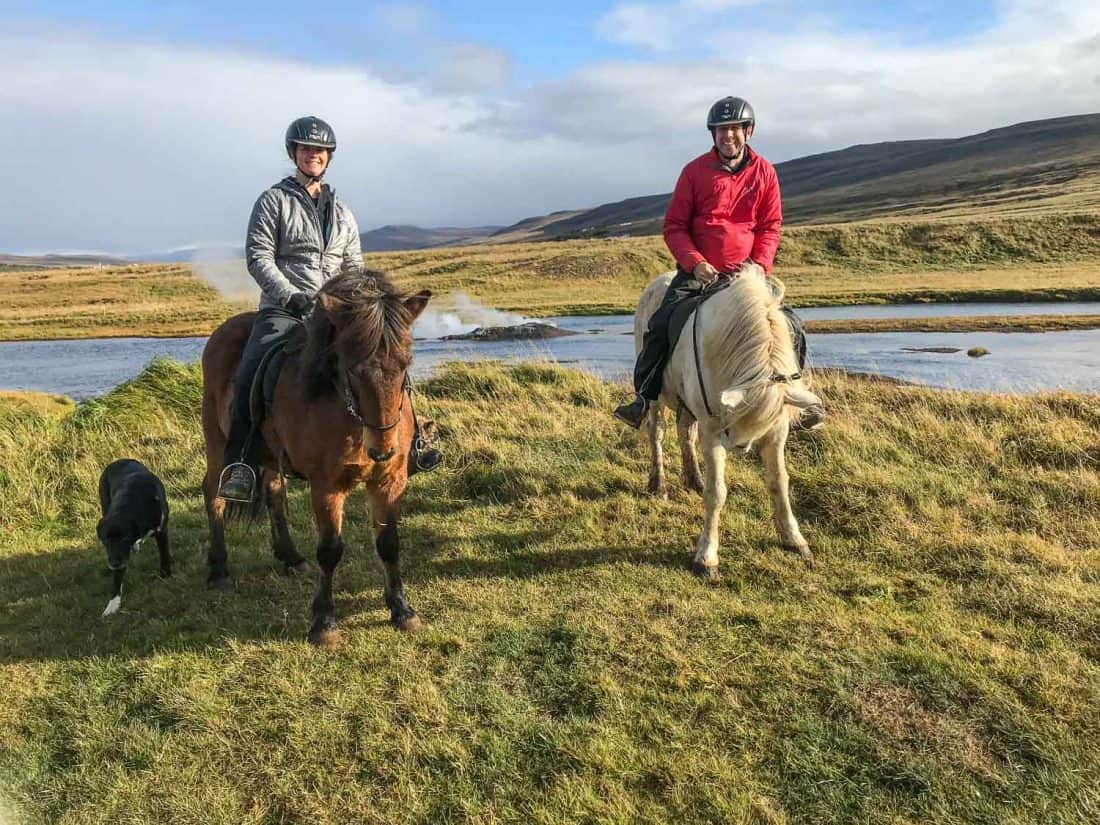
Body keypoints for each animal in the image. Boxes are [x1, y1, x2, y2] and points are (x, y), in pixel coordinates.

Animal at [96, 462, 170, 616]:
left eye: (125, 538)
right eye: (105, 541)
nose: (114, 564)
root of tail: (118, 461)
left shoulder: (162, 530)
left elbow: (164, 553)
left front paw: (165, 574)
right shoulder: (117, 555)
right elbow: (117, 577)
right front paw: (112, 605)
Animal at [201, 271, 429, 646]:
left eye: (405, 364)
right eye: (353, 369)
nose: (383, 450)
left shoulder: (388, 480)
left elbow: (388, 543)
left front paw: (402, 610)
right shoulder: (326, 486)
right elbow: (330, 550)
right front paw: (324, 623)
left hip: (268, 454)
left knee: (274, 492)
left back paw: (291, 558)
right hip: (217, 443)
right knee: (213, 494)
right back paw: (219, 570)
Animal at [633, 266, 822, 580]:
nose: (739, 446)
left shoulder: (776, 430)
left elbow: (779, 481)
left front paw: (794, 539)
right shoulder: (712, 430)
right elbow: (717, 492)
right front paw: (706, 557)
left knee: (684, 433)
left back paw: (694, 479)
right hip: (657, 397)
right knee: (656, 433)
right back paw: (658, 485)